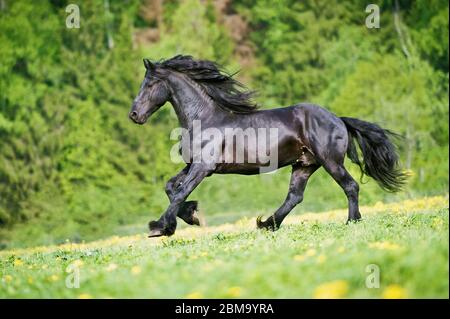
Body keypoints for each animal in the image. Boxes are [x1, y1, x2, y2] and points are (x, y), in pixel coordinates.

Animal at [128, 54, 406, 238]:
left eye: (149, 84)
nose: (134, 115)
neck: (204, 119)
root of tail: (338, 119)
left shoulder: (203, 167)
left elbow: (180, 192)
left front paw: (160, 227)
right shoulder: (193, 165)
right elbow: (171, 187)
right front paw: (191, 215)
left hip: (330, 162)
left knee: (350, 186)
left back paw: (351, 222)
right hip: (304, 164)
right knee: (295, 196)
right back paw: (267, 224)